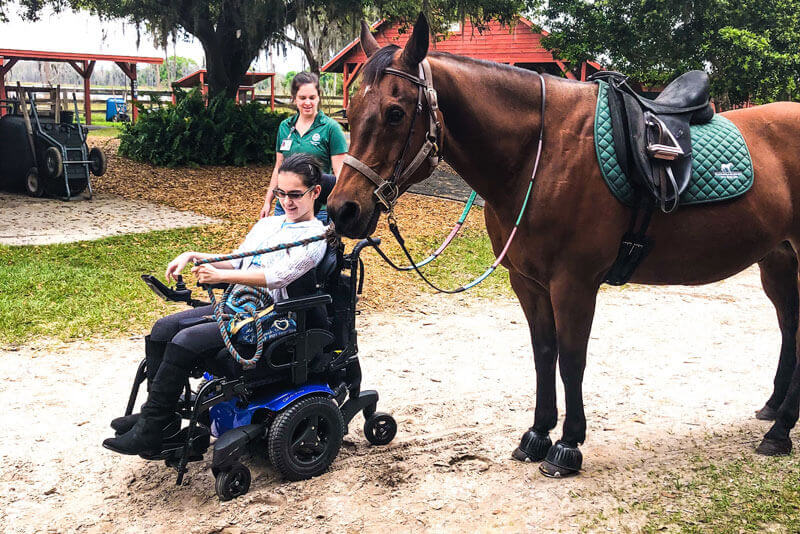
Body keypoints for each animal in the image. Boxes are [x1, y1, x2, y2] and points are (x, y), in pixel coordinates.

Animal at [328, 14, 800, 480]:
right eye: (350, 112)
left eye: (395, 113)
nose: (342, 210)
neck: (540, 155)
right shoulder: (528, 283)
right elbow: (544, 355)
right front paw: (537, 434)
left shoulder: (574, 284)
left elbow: (572, 361)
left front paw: (568, 445)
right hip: (778, 261)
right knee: (789, 328)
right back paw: (774, 410)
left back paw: (779, 432)